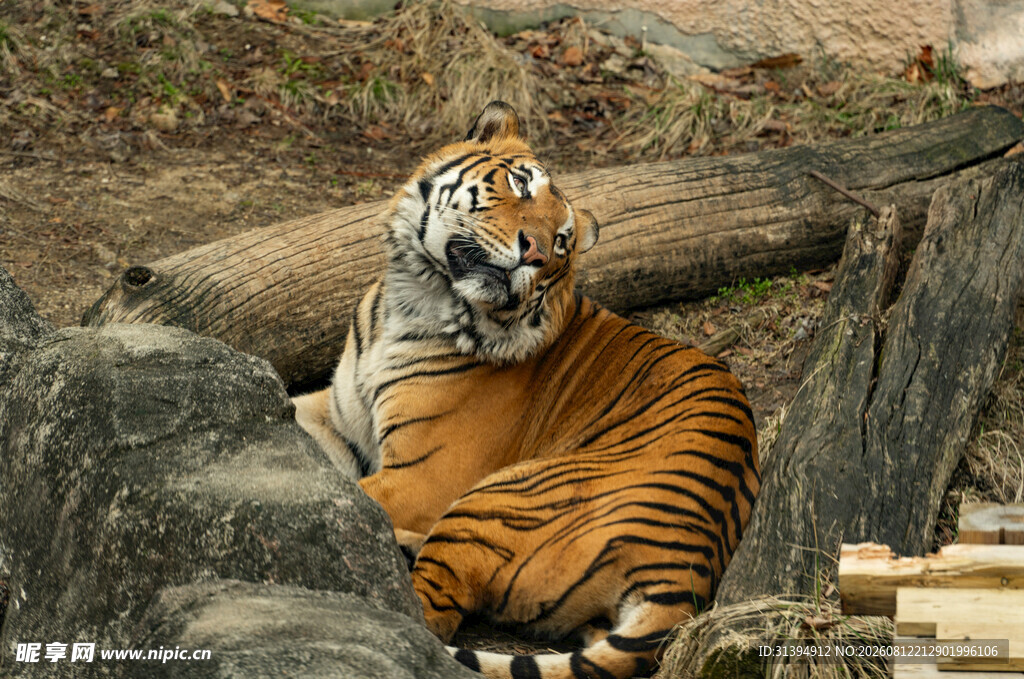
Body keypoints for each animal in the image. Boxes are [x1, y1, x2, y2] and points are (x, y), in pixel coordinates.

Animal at [293, 101, 760, 679]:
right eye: (519, 183)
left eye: (561, 241)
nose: (535, 252)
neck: (417, 298)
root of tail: (688, 570)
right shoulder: (336, 420)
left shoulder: (419, 478)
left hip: (492, 500)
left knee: (427, 615)